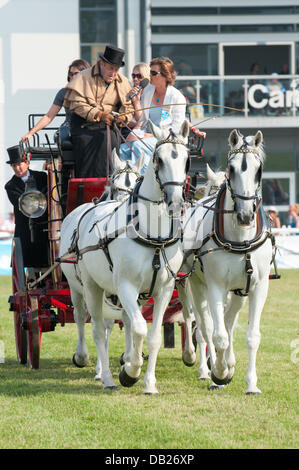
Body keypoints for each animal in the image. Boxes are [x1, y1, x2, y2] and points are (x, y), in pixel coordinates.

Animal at [59, 120, 189, 392]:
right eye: (158, 159)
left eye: (186, 159)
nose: (175, 201)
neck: (153, 236)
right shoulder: (125, 285)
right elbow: (139, 328)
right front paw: (130, 372)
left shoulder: (163, 288)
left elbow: (152, 335)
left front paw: (148, 382)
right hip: (86, 286)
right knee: (92, 325)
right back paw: (102, 373)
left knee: (121, 322)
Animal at [179, 129, 276, 392]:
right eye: (232, 169)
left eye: (259, 170)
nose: (245, 215)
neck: (241, 239)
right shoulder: (215, 286)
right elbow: (217, 334)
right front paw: (219, 373)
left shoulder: (258, 287)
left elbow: (251, 336)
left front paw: (251, 383)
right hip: (195, 284)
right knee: (203, 326)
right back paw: (207, 368)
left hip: (238, 290)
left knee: (227, 321)